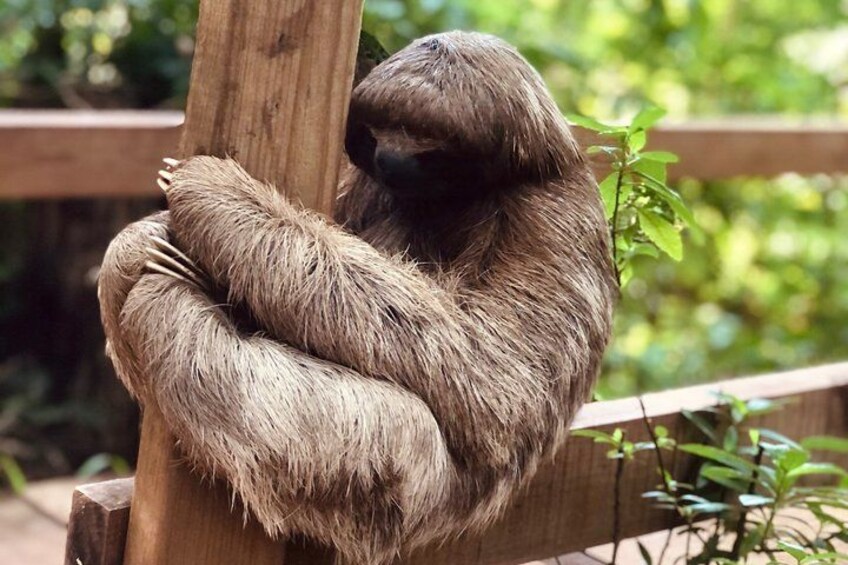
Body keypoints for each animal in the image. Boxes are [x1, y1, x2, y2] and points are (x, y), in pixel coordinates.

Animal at [97, 31, 618, 564]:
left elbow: (495, 380)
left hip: (398, 474)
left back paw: (168, 288)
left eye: (430, 143)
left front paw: (212, 189)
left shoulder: (552, 214)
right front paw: (147, 234)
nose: (391, 158)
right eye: (377, 131)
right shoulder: (367, 183)